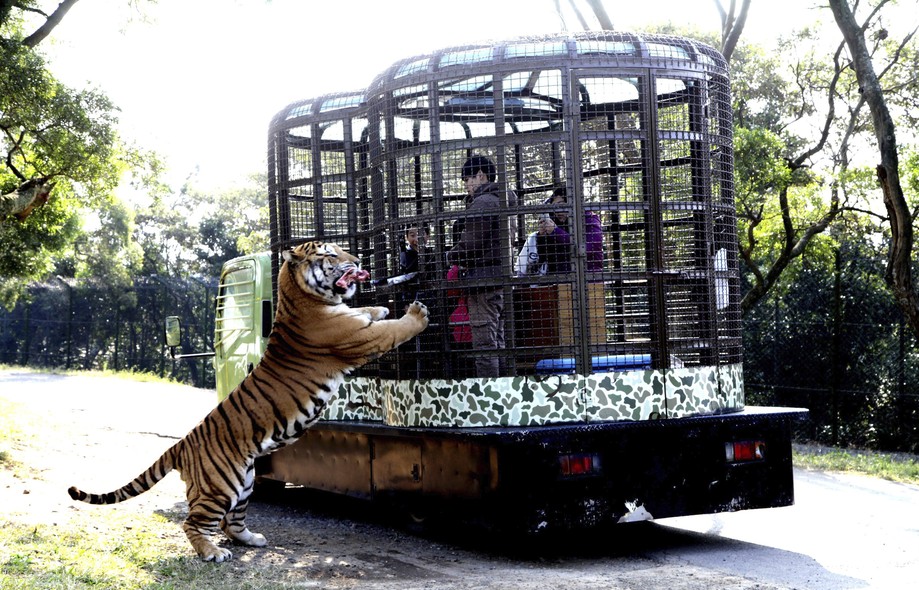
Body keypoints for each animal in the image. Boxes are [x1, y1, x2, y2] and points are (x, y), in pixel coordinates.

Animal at [68, 242, 432, 564]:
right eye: (331, 253)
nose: (357, 260)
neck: (304, 297)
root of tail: (182, 444)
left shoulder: (355, 321)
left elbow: (367, 313)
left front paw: (380, 307)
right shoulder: (361, 338)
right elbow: (394, 329)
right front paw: (416, 313)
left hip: (244, 483)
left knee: (230, 521)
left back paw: (252, 539)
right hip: (221, 486)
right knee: (193, 522)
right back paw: (213, 553)